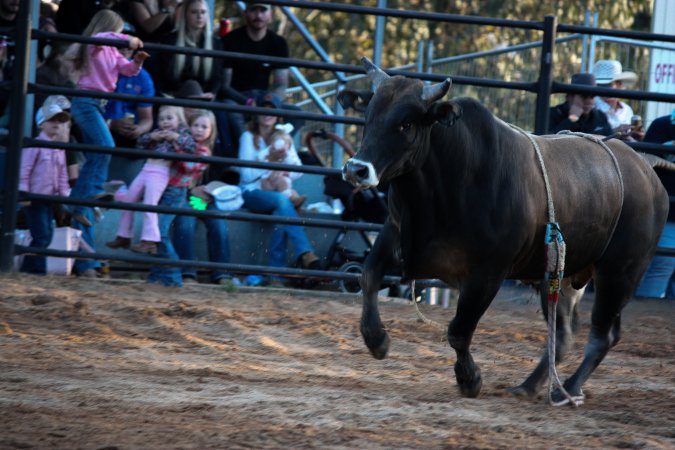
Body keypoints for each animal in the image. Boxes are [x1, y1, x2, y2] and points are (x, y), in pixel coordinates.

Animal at [337, 57, 670, 405]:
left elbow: (459, 330)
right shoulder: (396, 233)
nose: (356, 170)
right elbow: (369, 276)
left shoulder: (488, 273)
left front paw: (469, 378)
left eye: (406, 124)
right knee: (564, 335)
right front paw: (377, 339)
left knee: (603, 336)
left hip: (619, 273)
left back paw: (569, 387)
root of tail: (645, 167)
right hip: (562, 275)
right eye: (369, 116)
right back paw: (530, 385)